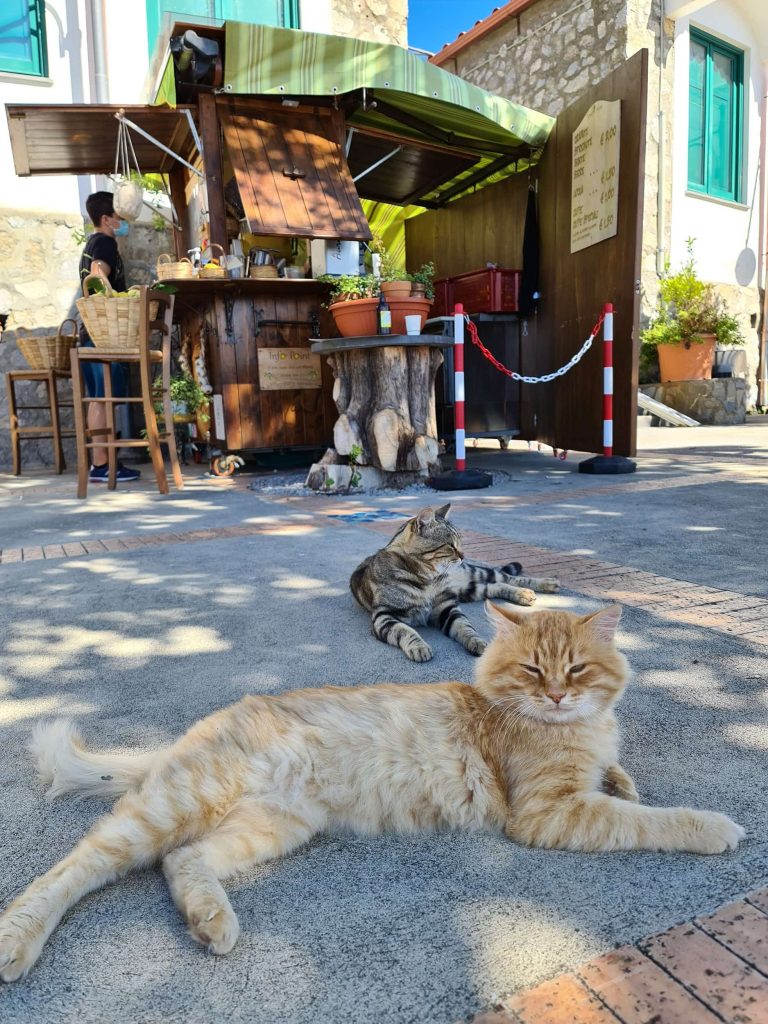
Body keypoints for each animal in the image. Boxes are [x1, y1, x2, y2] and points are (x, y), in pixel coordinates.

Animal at [0, 602, 745, 978]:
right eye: (535, 670)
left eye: (578, 669)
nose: (559, 696)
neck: (571, 728)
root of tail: (203, 725)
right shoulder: (548, 812)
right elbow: (647, 819)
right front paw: (715, 826)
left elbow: (620, 780)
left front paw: (622, 771)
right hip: (174, 806)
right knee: (77, 865)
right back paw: (17, 941)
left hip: (270, 826)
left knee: (181, 862)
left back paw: (210, 921)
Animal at [350, 503, 561, 663]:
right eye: (450, 545)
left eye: (460, 542)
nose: (463, 555)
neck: (428, 579)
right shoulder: (384, 616)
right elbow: (405, 631)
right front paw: (419, 646)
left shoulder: (447, 608)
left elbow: (465, 627)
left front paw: (477, 641)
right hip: (470, 590)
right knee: (494, 587)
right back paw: (524, 594)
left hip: (473, 574)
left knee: (504, 576)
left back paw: (544, 585)